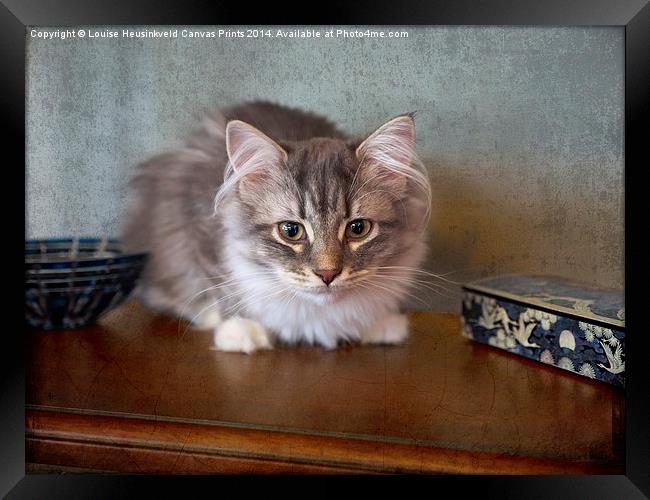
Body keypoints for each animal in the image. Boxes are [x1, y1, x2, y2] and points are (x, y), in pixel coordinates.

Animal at [123, 100, 430, 352]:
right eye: (291, 231)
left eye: (358, 228)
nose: (327, 274)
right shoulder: (202, 227)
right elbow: (222, 286)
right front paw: (239, 330)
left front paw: (381, 323)